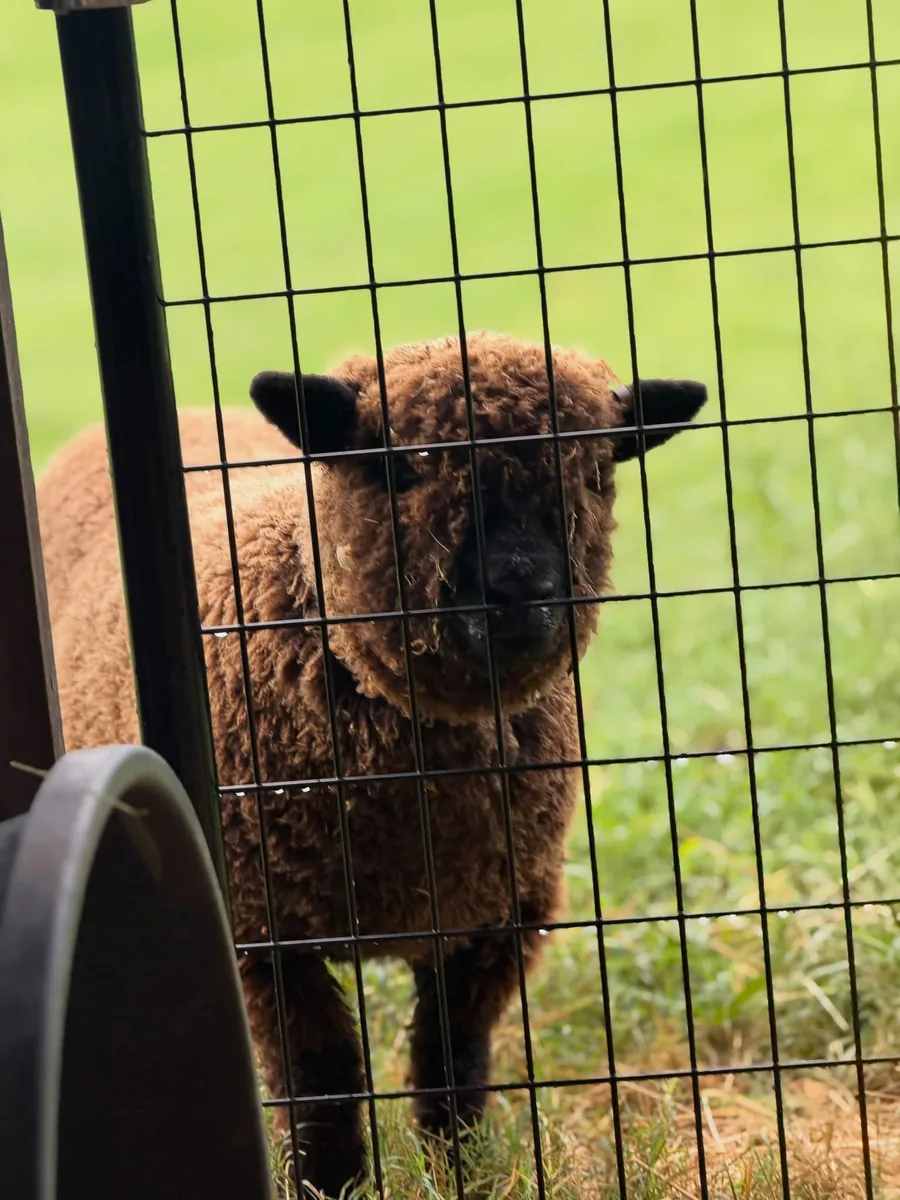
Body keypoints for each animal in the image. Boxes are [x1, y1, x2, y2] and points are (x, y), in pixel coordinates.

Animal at [37, 331, 707, 1197]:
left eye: (596, 473)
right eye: (400, 469)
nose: (521, 590)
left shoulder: (494, 917)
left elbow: (452, 1061)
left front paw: (463, 1171)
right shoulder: (262, 932)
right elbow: (321, 1079)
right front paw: (331, 1184)